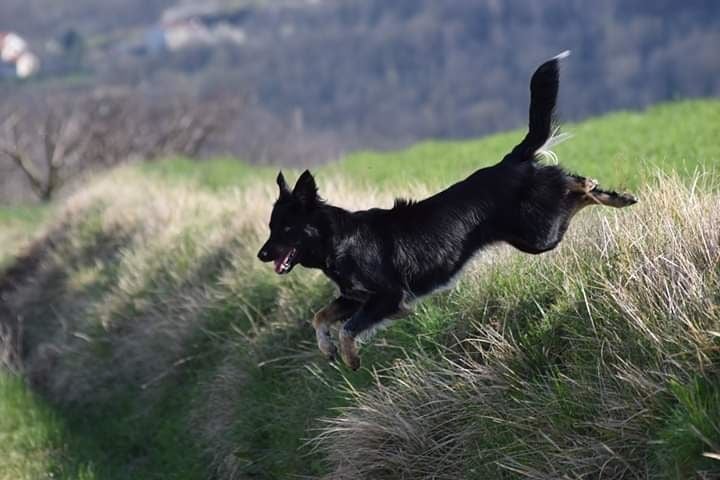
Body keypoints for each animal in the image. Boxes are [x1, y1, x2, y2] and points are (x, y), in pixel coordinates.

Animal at [258, 52, 636, 370]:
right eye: (271, 227)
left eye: (286, 229)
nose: (261, 255)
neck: (338, 242)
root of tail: (510, 161)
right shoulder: (355, 297)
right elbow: (321, 317)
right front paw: (327, 348)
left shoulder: (388, 297)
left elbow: (348, 328)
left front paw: (350, 356)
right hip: (536, 234)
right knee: (575, 188)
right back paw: (618, 196)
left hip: (539, 235)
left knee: (571, 185)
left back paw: (591, 185)